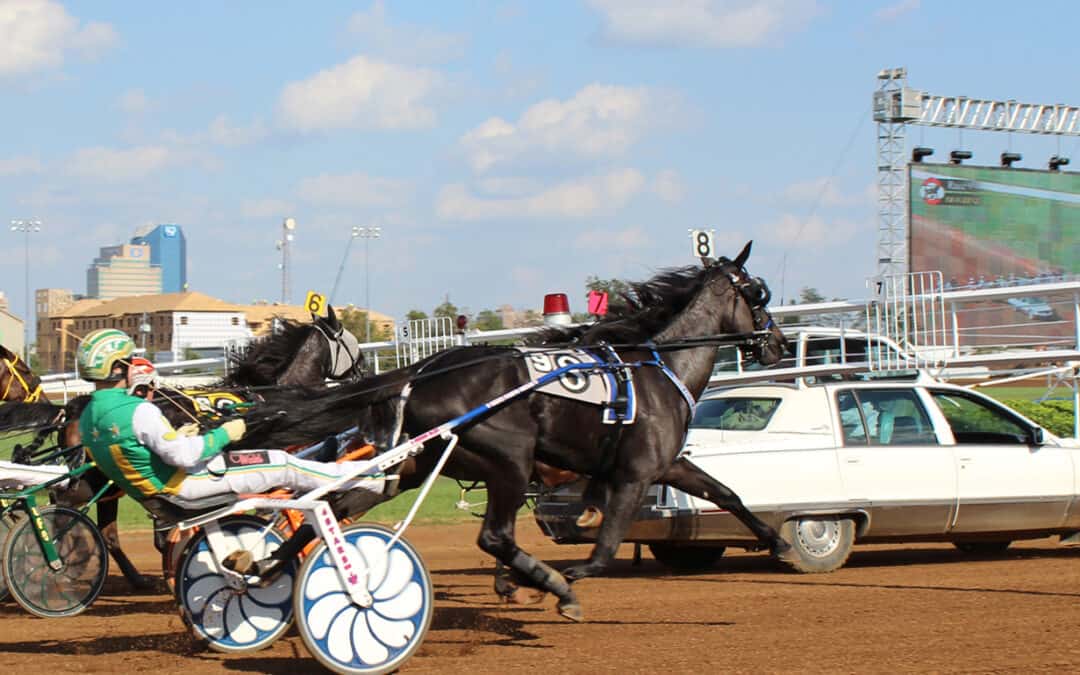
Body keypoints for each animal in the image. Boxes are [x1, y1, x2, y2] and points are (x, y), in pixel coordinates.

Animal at [240, 239, 790, 617]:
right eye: (757, 293)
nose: (778, 343)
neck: (656, 367)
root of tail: (421, 372)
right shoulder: (635, 473)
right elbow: (605, 545)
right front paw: (559, 580)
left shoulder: (665, 464)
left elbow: (726, 494)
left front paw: (780, 544)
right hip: (509, 459)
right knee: (495, 536)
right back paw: (552, 582)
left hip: (412, 466)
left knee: (332, 506)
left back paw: (262, 566)